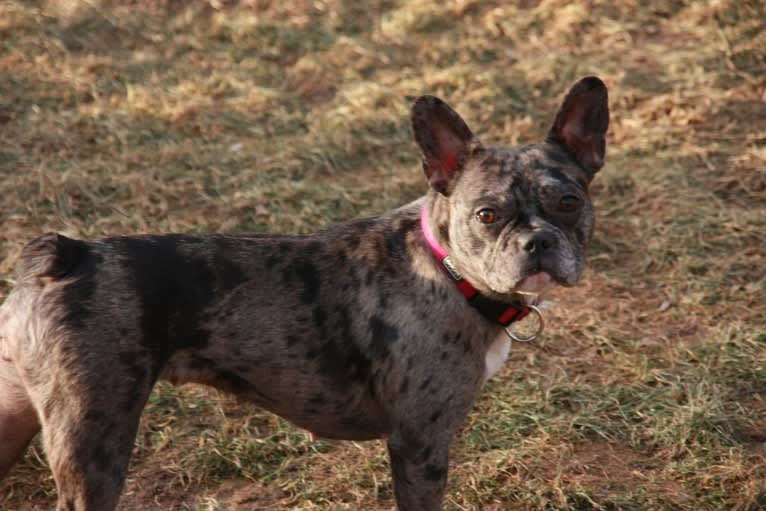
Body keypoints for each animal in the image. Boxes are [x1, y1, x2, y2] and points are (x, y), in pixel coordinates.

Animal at [0, 77, 612, 511]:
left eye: (568, 203)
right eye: (487, 215)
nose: (537, 242)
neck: (447, 269)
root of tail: (69, 254)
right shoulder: (420, 442)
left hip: (20, 413)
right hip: (96, 440)